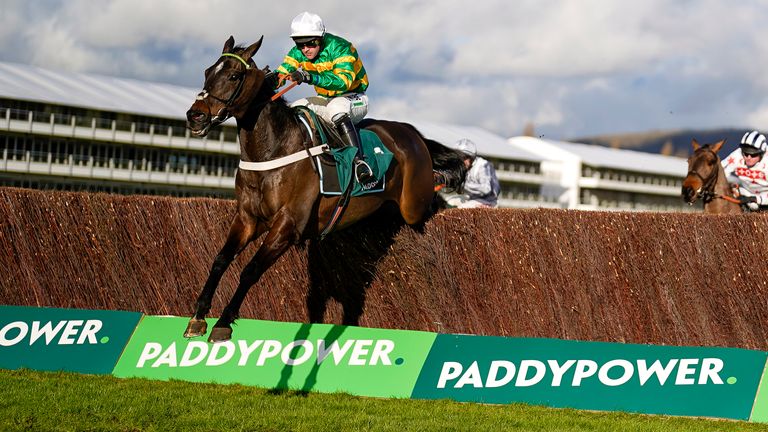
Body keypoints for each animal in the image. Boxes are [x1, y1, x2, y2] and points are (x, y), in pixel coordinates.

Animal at [184, 36, 468, 340]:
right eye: (207, 72)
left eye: (234, 76)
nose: (195, 116)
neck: (273, 150)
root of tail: (413, 134)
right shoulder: (248, 219)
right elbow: (220, 260)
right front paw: (198, 316)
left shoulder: (288, 226)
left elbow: (250, 270)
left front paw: (223, 321)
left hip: (413, 205)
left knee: (432, 203)